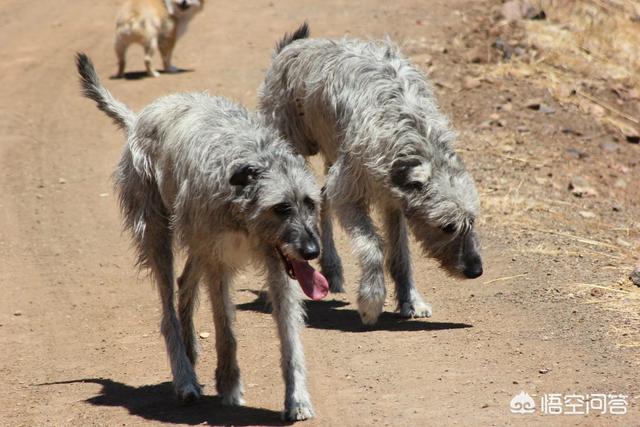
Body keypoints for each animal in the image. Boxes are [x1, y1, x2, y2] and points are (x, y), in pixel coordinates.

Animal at [76, 52, 324, 422]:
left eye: (310, 203)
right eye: (281, 208)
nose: (311, 251)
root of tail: (139, 119)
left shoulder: (278, 264)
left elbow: (290, 338)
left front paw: (297, 399)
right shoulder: (219, 263)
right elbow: (226, 330)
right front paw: (230, 385)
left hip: (197, 241)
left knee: (184, 282)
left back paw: (191, 348)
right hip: (157, 234)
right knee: (168, 309)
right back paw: (185, 378)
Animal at [258, 23, 482, 326]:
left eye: (472, 221)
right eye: (447, 226)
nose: (476, 270)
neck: (412, 133)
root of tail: (293, 47)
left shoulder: (393, 199)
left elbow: (400, 255)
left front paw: (410, 299)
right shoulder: (351, 193)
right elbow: (373, 246)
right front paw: (371, 300)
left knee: (323, 198)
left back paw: (331, 268)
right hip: (293, 144)